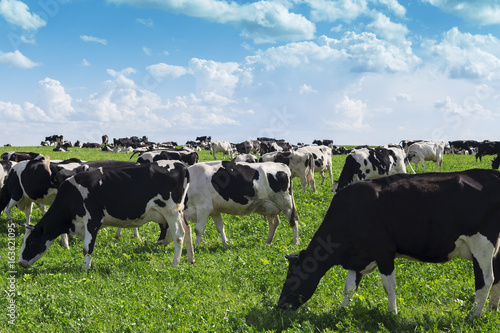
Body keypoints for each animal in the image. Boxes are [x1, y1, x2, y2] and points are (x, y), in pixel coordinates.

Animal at [17, 161, 194, 270]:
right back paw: (190, 259)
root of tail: (181, 165)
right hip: (180, 212)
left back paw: (175, 264)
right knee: (188, 230)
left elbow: (87, 248)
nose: (20, 262)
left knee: (179, 235)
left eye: (30, 242)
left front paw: (84, 269)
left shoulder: (92, 220)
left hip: (171, 211)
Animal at [278, 170, 500, 318]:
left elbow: (389, 286)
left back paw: (473, 316)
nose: (279, 306)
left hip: (482, 245)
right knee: (496, 279)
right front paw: (341, 310)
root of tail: (490, 174)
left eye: (291, 277)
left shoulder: (383, 251)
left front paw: (392, 314)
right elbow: (349, 287)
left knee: (485, 280)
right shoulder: (358, 256)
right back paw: (492, 310)